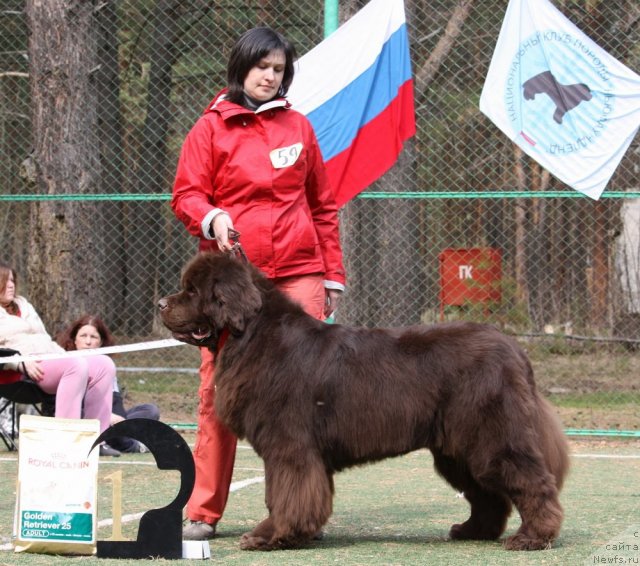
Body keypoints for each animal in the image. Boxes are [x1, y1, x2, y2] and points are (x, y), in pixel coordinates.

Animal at [160, 254, 568, 556]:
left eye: (193, 290)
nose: (161, 303)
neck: (251, 334)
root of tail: (514, 348)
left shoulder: (289, 446)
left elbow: (284, 494)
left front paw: (270, 536)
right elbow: (287, 494)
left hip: (491, 437)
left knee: (532, 481)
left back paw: (533, 537)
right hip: (457, 447)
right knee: (487, 494)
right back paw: (472, 531)